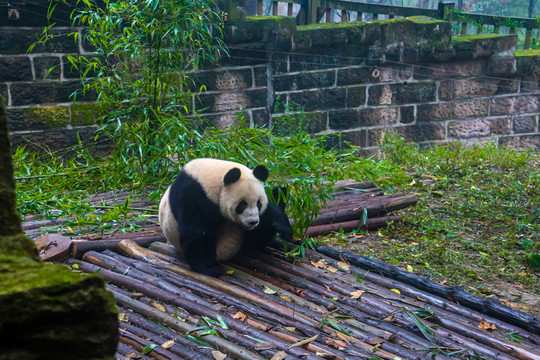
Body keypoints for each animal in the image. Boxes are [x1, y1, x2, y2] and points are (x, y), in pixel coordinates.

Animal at [158, 158, 294, 278]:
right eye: (242, 205)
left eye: (258, 203)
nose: (253, 222)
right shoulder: (194, 195)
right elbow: (196, 233)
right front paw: (212, 268)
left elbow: (270, 213)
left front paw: (283, 228)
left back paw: (281, 194)